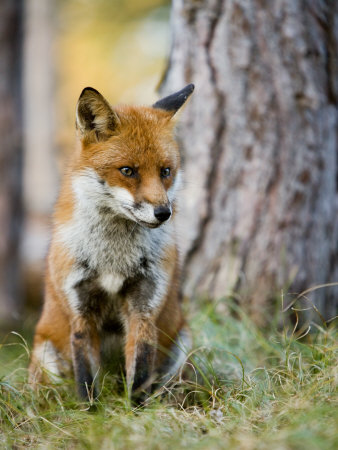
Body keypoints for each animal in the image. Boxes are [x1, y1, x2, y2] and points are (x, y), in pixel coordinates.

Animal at [28, 84, 194, 400]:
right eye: (128, 171)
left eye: (165, 171)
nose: (163, 213)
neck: (113, 258)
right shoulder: (81, 308)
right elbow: (86, 379)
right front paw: (90, 410)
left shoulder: (144, 307)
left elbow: (139, 374)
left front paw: (136, 409)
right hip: (45, 355)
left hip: (181, 345)